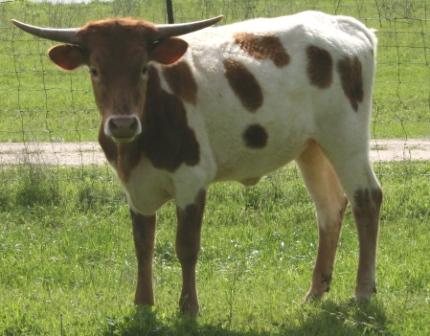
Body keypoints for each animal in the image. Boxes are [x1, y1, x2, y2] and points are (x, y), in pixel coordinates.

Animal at [13, 9, 382, 316]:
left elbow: (186, 247)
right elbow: (143, 245)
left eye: (143, 68)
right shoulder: (135, 188)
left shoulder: (191, 180)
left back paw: (363, 291)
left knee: (367, 198)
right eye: (95, 69)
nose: (122, 124)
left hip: (345, 137)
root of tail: (344, 23)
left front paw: (188, 306)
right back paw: (315, 292)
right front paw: (143, 303)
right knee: (329, 208)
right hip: (311, 147)